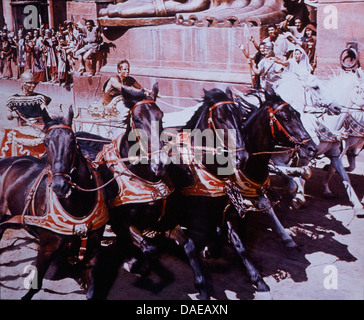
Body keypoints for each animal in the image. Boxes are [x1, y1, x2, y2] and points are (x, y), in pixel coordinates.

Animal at [0, 107, 108, 300]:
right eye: (45, 141)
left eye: (72, 140)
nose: (60, 186)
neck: (77, 207)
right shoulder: (46, 249)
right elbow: (34, 288)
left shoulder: (93, 251)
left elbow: (91, 290)